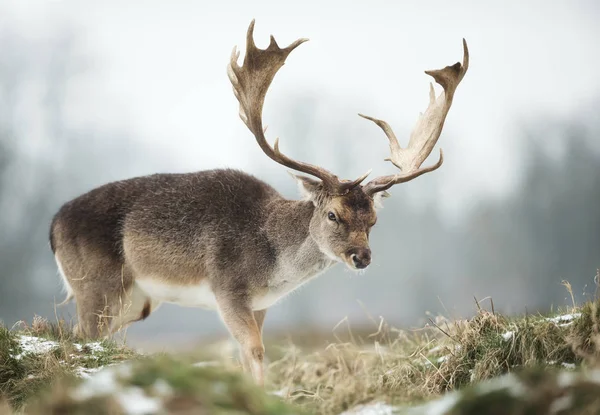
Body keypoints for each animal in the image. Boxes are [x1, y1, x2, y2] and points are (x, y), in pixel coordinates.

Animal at [49, 18, 468, 384]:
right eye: (333, 215)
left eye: (373, 221)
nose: (361, 257)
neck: (272, 263)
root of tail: (53, 226)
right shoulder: (226, 288)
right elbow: (254, 351)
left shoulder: (261, 303)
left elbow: (248, 353)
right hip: (96, 285)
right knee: (81, 337)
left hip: (135, 301)